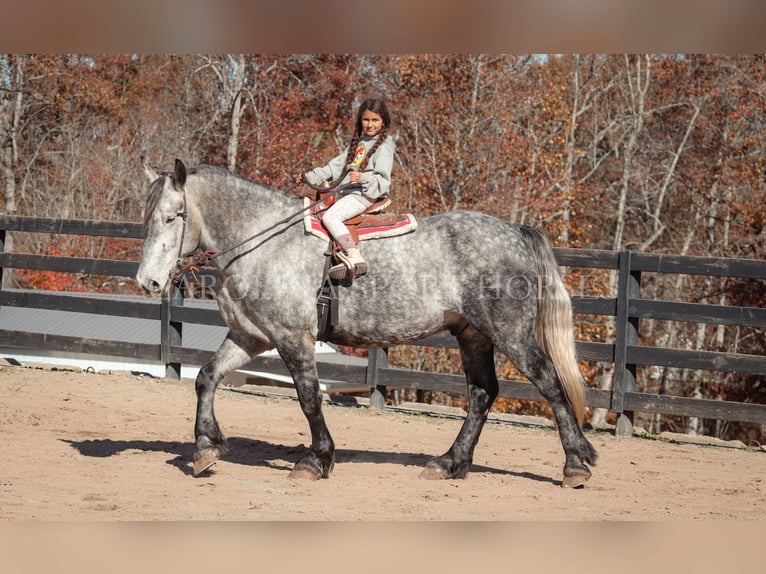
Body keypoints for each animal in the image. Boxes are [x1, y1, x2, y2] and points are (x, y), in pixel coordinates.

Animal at [135, 160, 596, 488]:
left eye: (174, 216)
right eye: (148, 217)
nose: (148, 281)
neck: (265, 242)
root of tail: (514, 231)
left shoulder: (292, 338)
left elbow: (308, 398)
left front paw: (317, 459)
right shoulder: (252, 337)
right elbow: (206, 378)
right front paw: (205, 448)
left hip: (511, 334)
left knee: (549, 382)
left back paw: (575, 463)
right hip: (473, 336)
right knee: (482, 394)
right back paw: (450, 462)